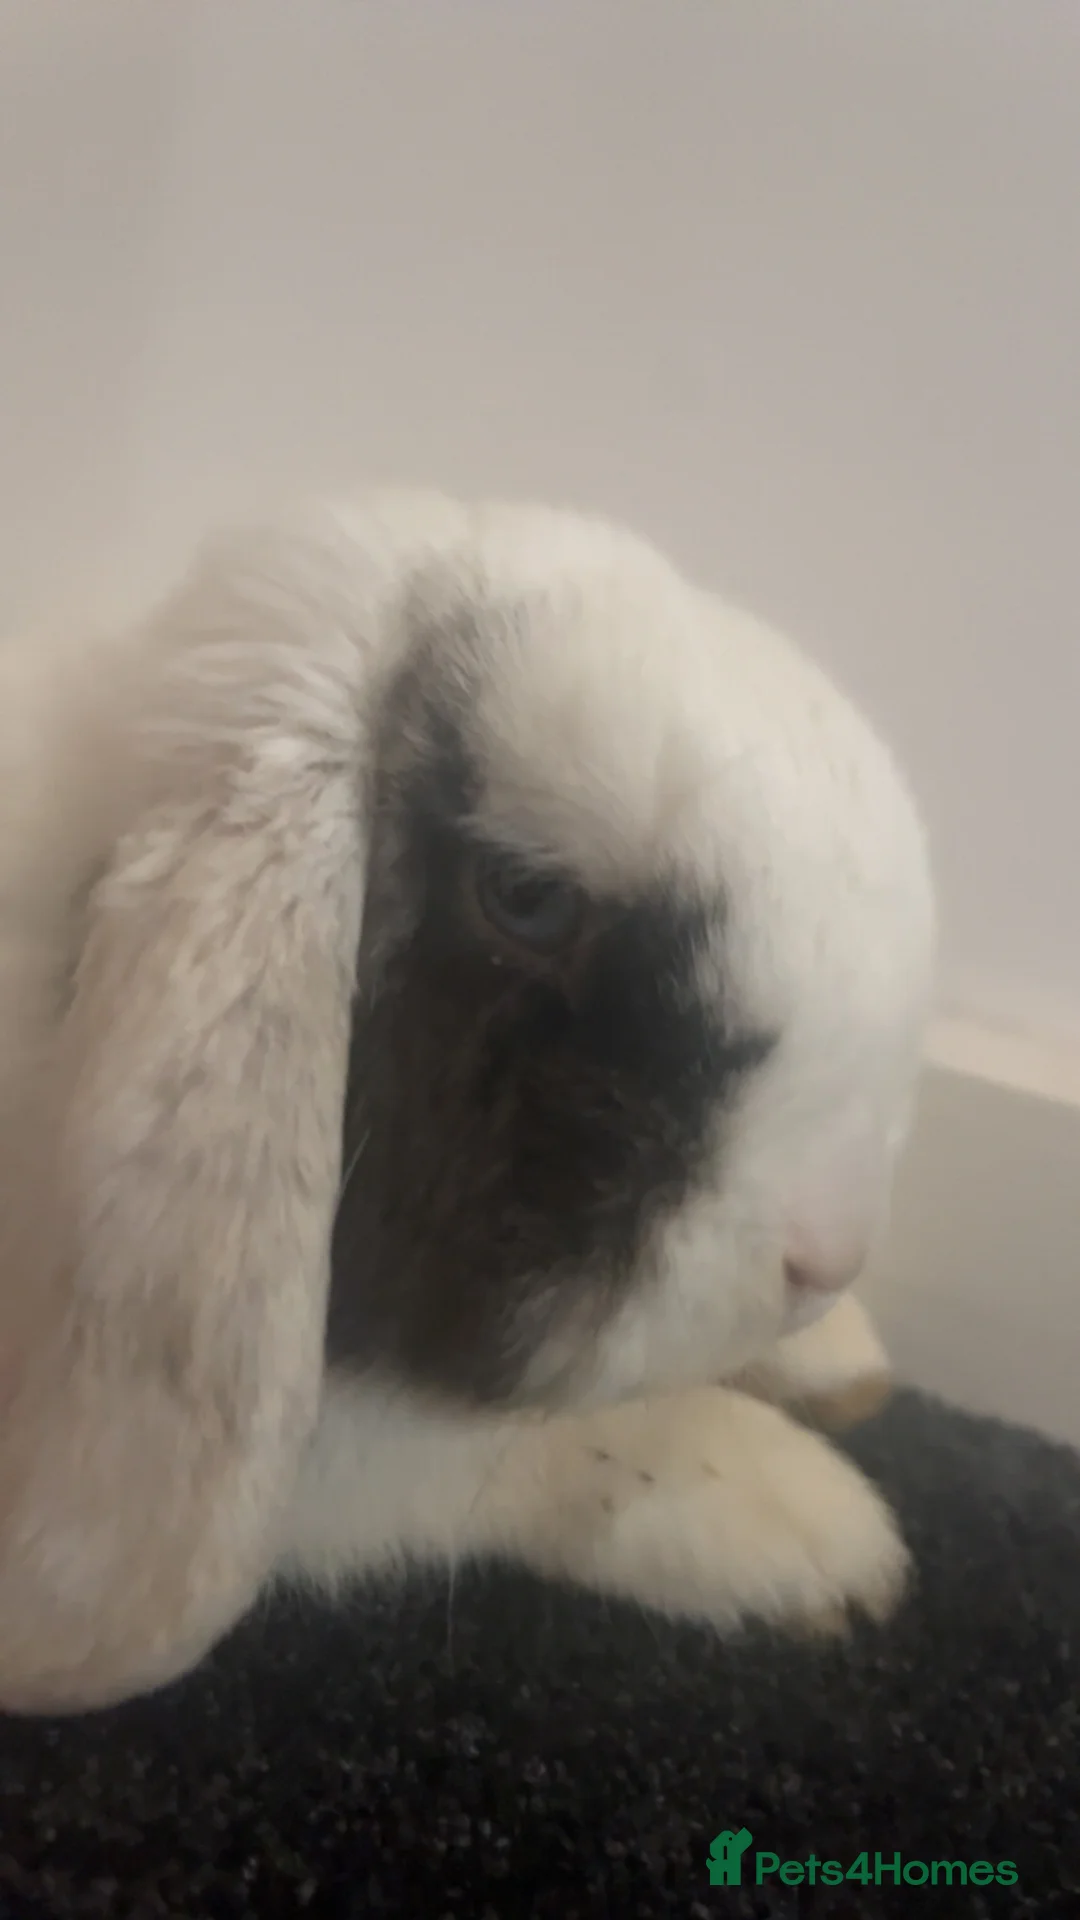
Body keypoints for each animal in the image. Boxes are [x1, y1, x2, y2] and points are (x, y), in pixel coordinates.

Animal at [0, 489, 935, 1714]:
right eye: (527, 899)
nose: (827, 1258)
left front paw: (844, 1366)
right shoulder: (359, 1468)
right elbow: (524, 1452)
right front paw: (811, 1526)